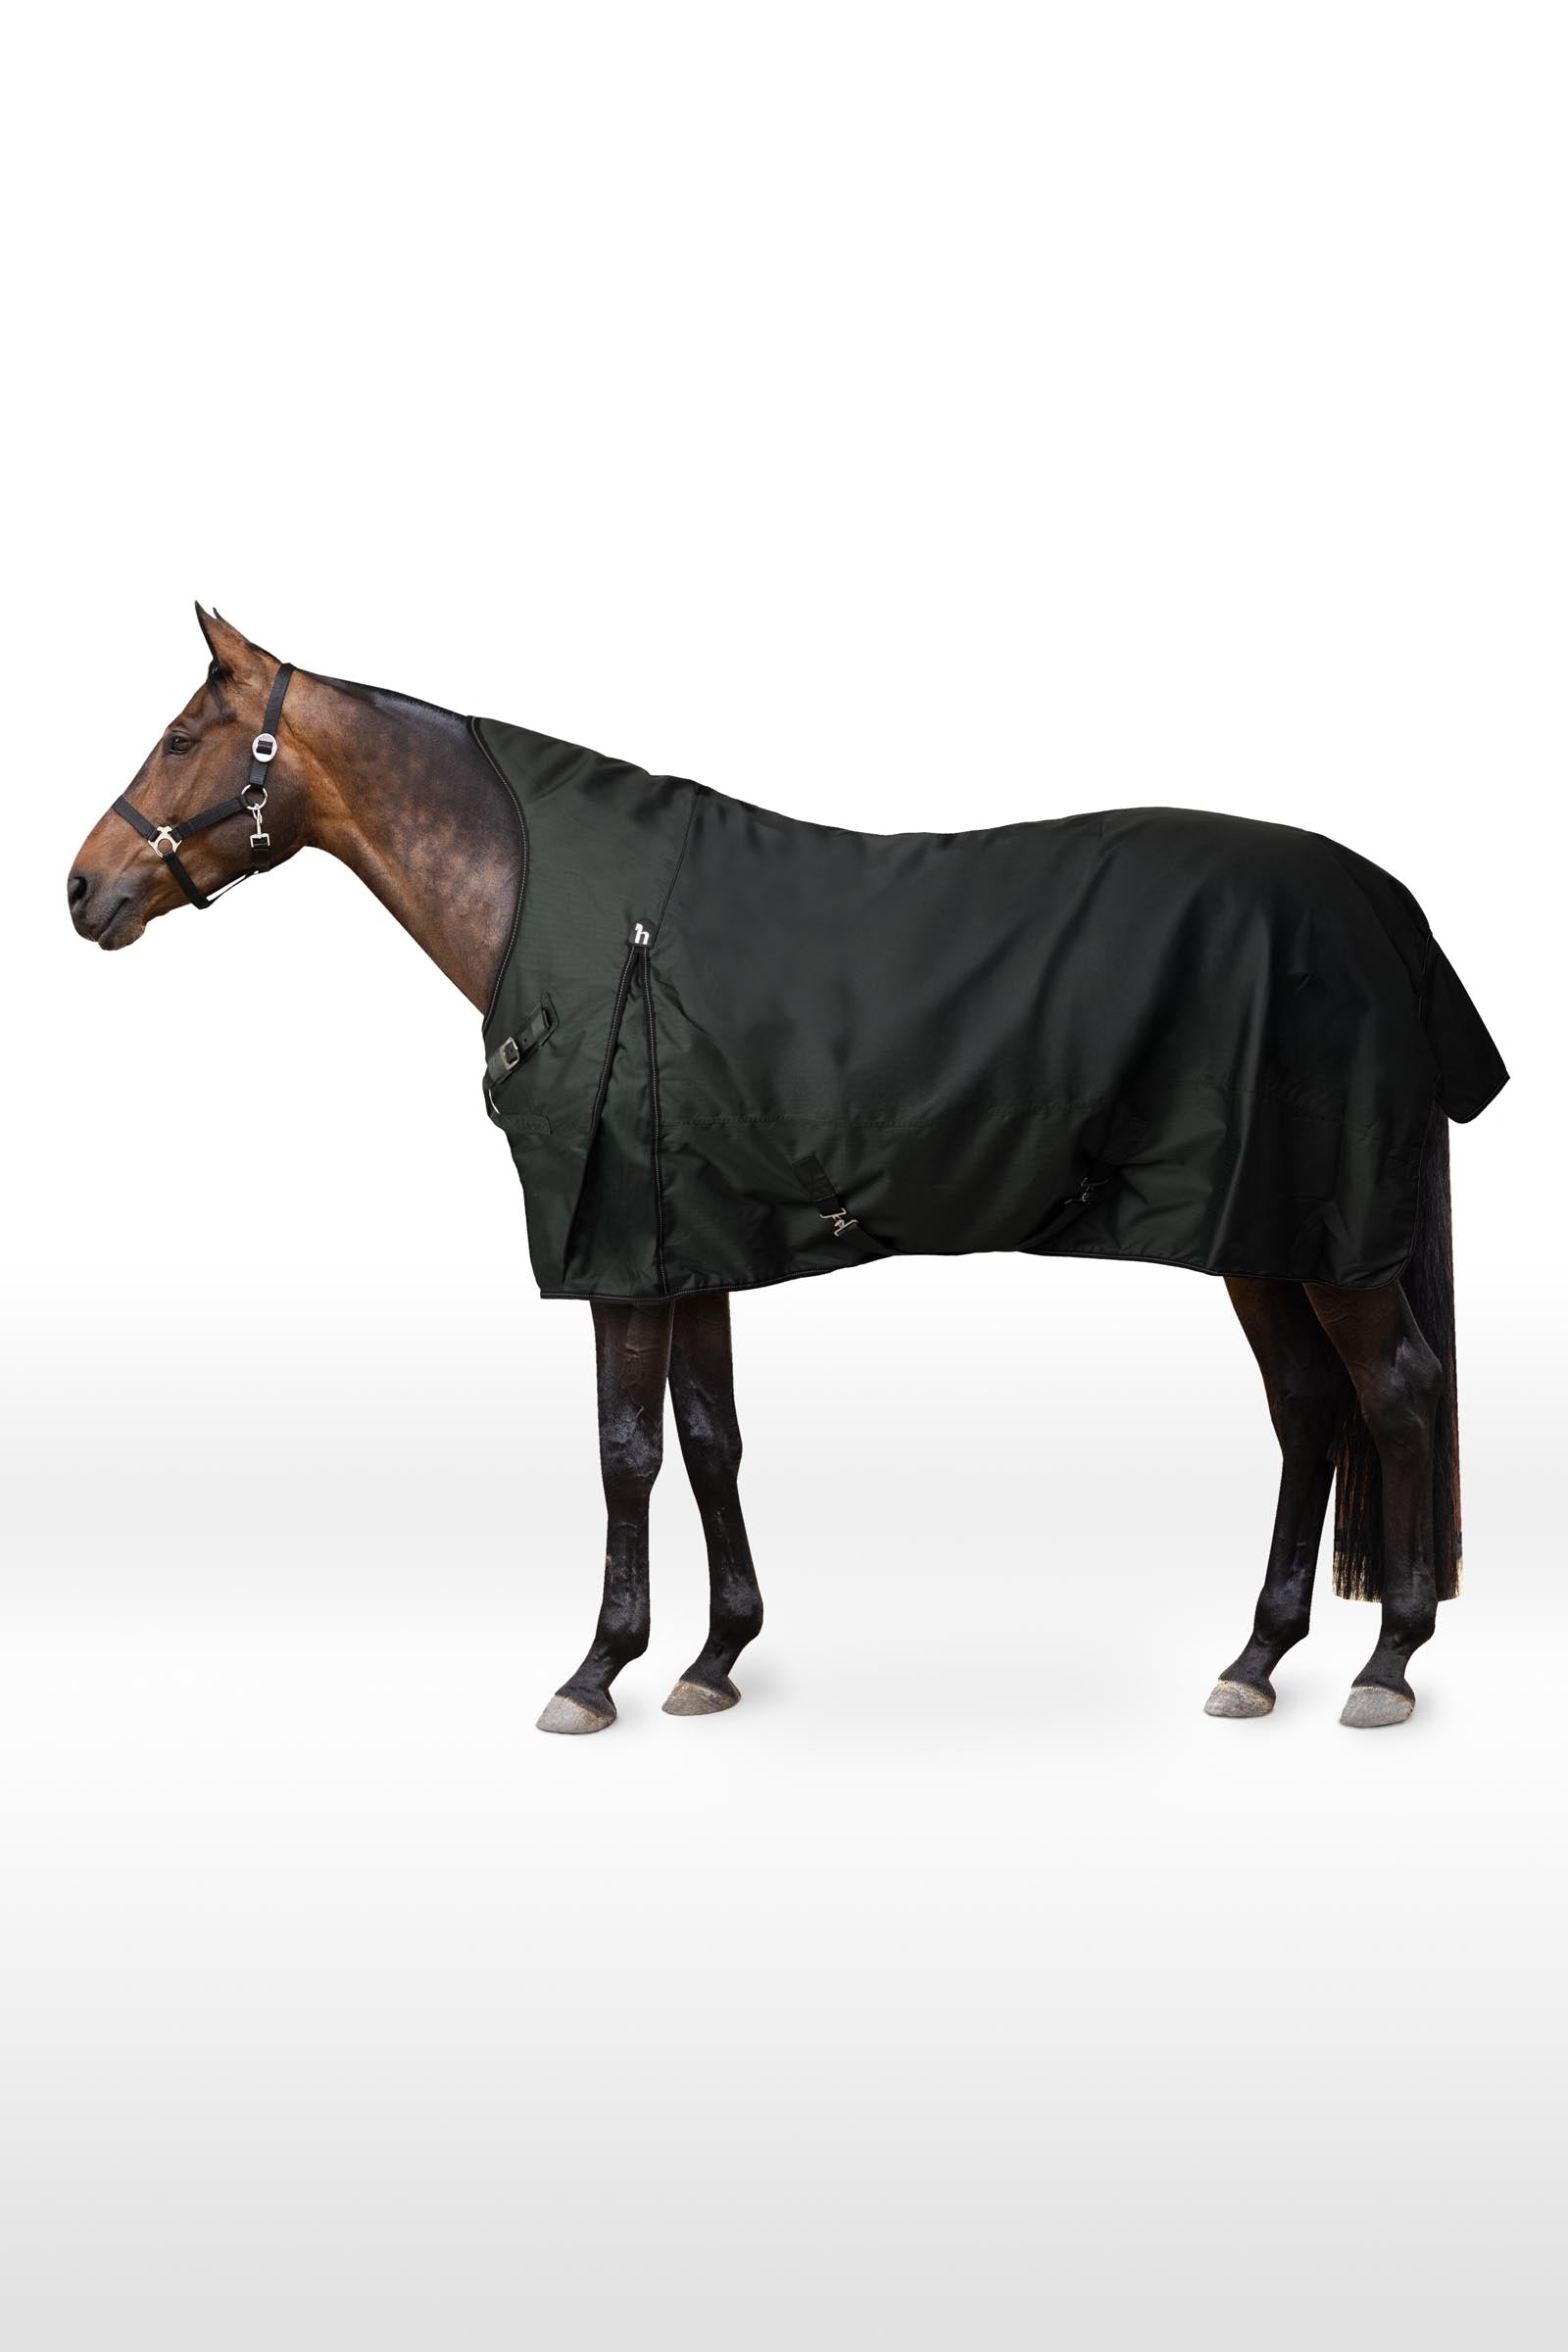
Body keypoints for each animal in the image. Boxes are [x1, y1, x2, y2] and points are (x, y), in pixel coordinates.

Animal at [67, 607, 1505, 1735]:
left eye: (184, 738)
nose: (83, 890)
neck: (580, 917)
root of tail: (1377, 899)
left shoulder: (618, 1259)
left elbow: (627, 1451)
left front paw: (597, 1671)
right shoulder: (687, 1241)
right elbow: (711, 1438)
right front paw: (715, 1657)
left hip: (1321, 1240)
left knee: (1396, 1393)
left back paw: (1388, 1662)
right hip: (1260, 1230)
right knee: (1311, 1408)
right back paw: (1258, 1657)